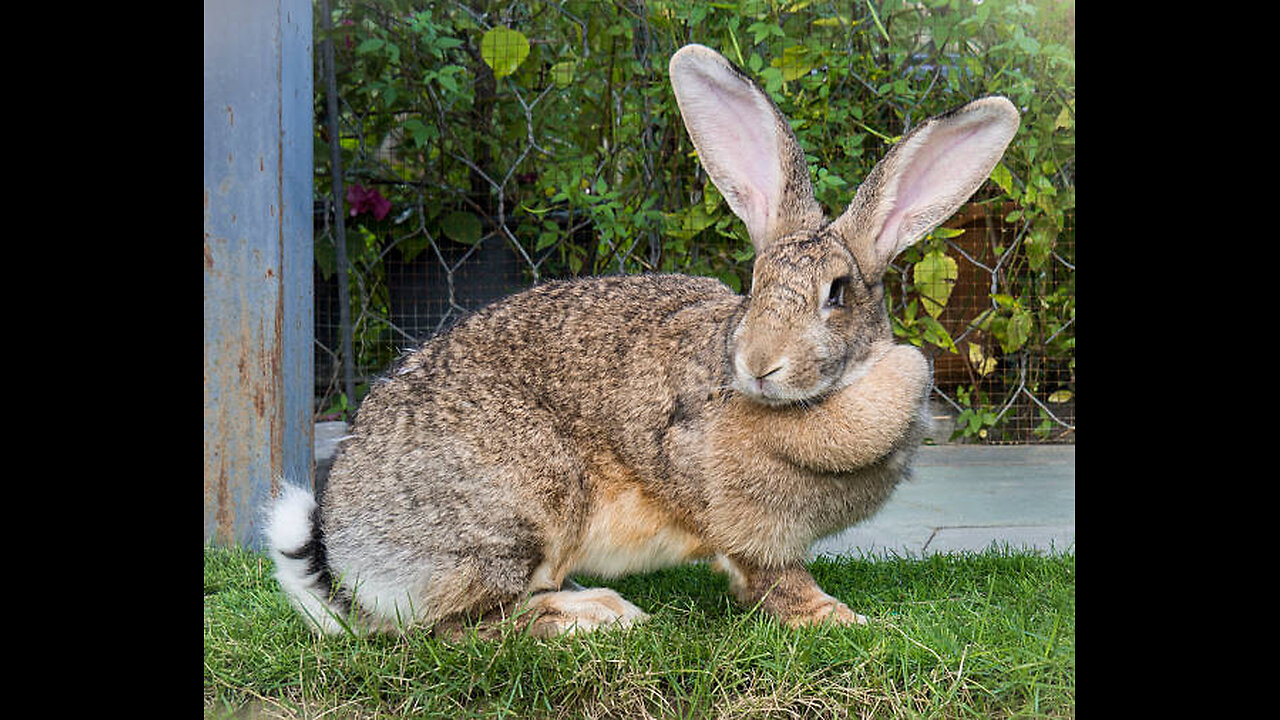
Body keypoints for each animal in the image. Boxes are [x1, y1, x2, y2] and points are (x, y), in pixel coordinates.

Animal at [264, 41, 1013, 635]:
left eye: (837, 294)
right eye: (755, 282)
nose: (758, 365)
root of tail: (348, 557)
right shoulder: (744, 525)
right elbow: (773, 579)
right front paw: (840, 619)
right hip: (520, 508)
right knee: (461, 627)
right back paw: (596, 616)